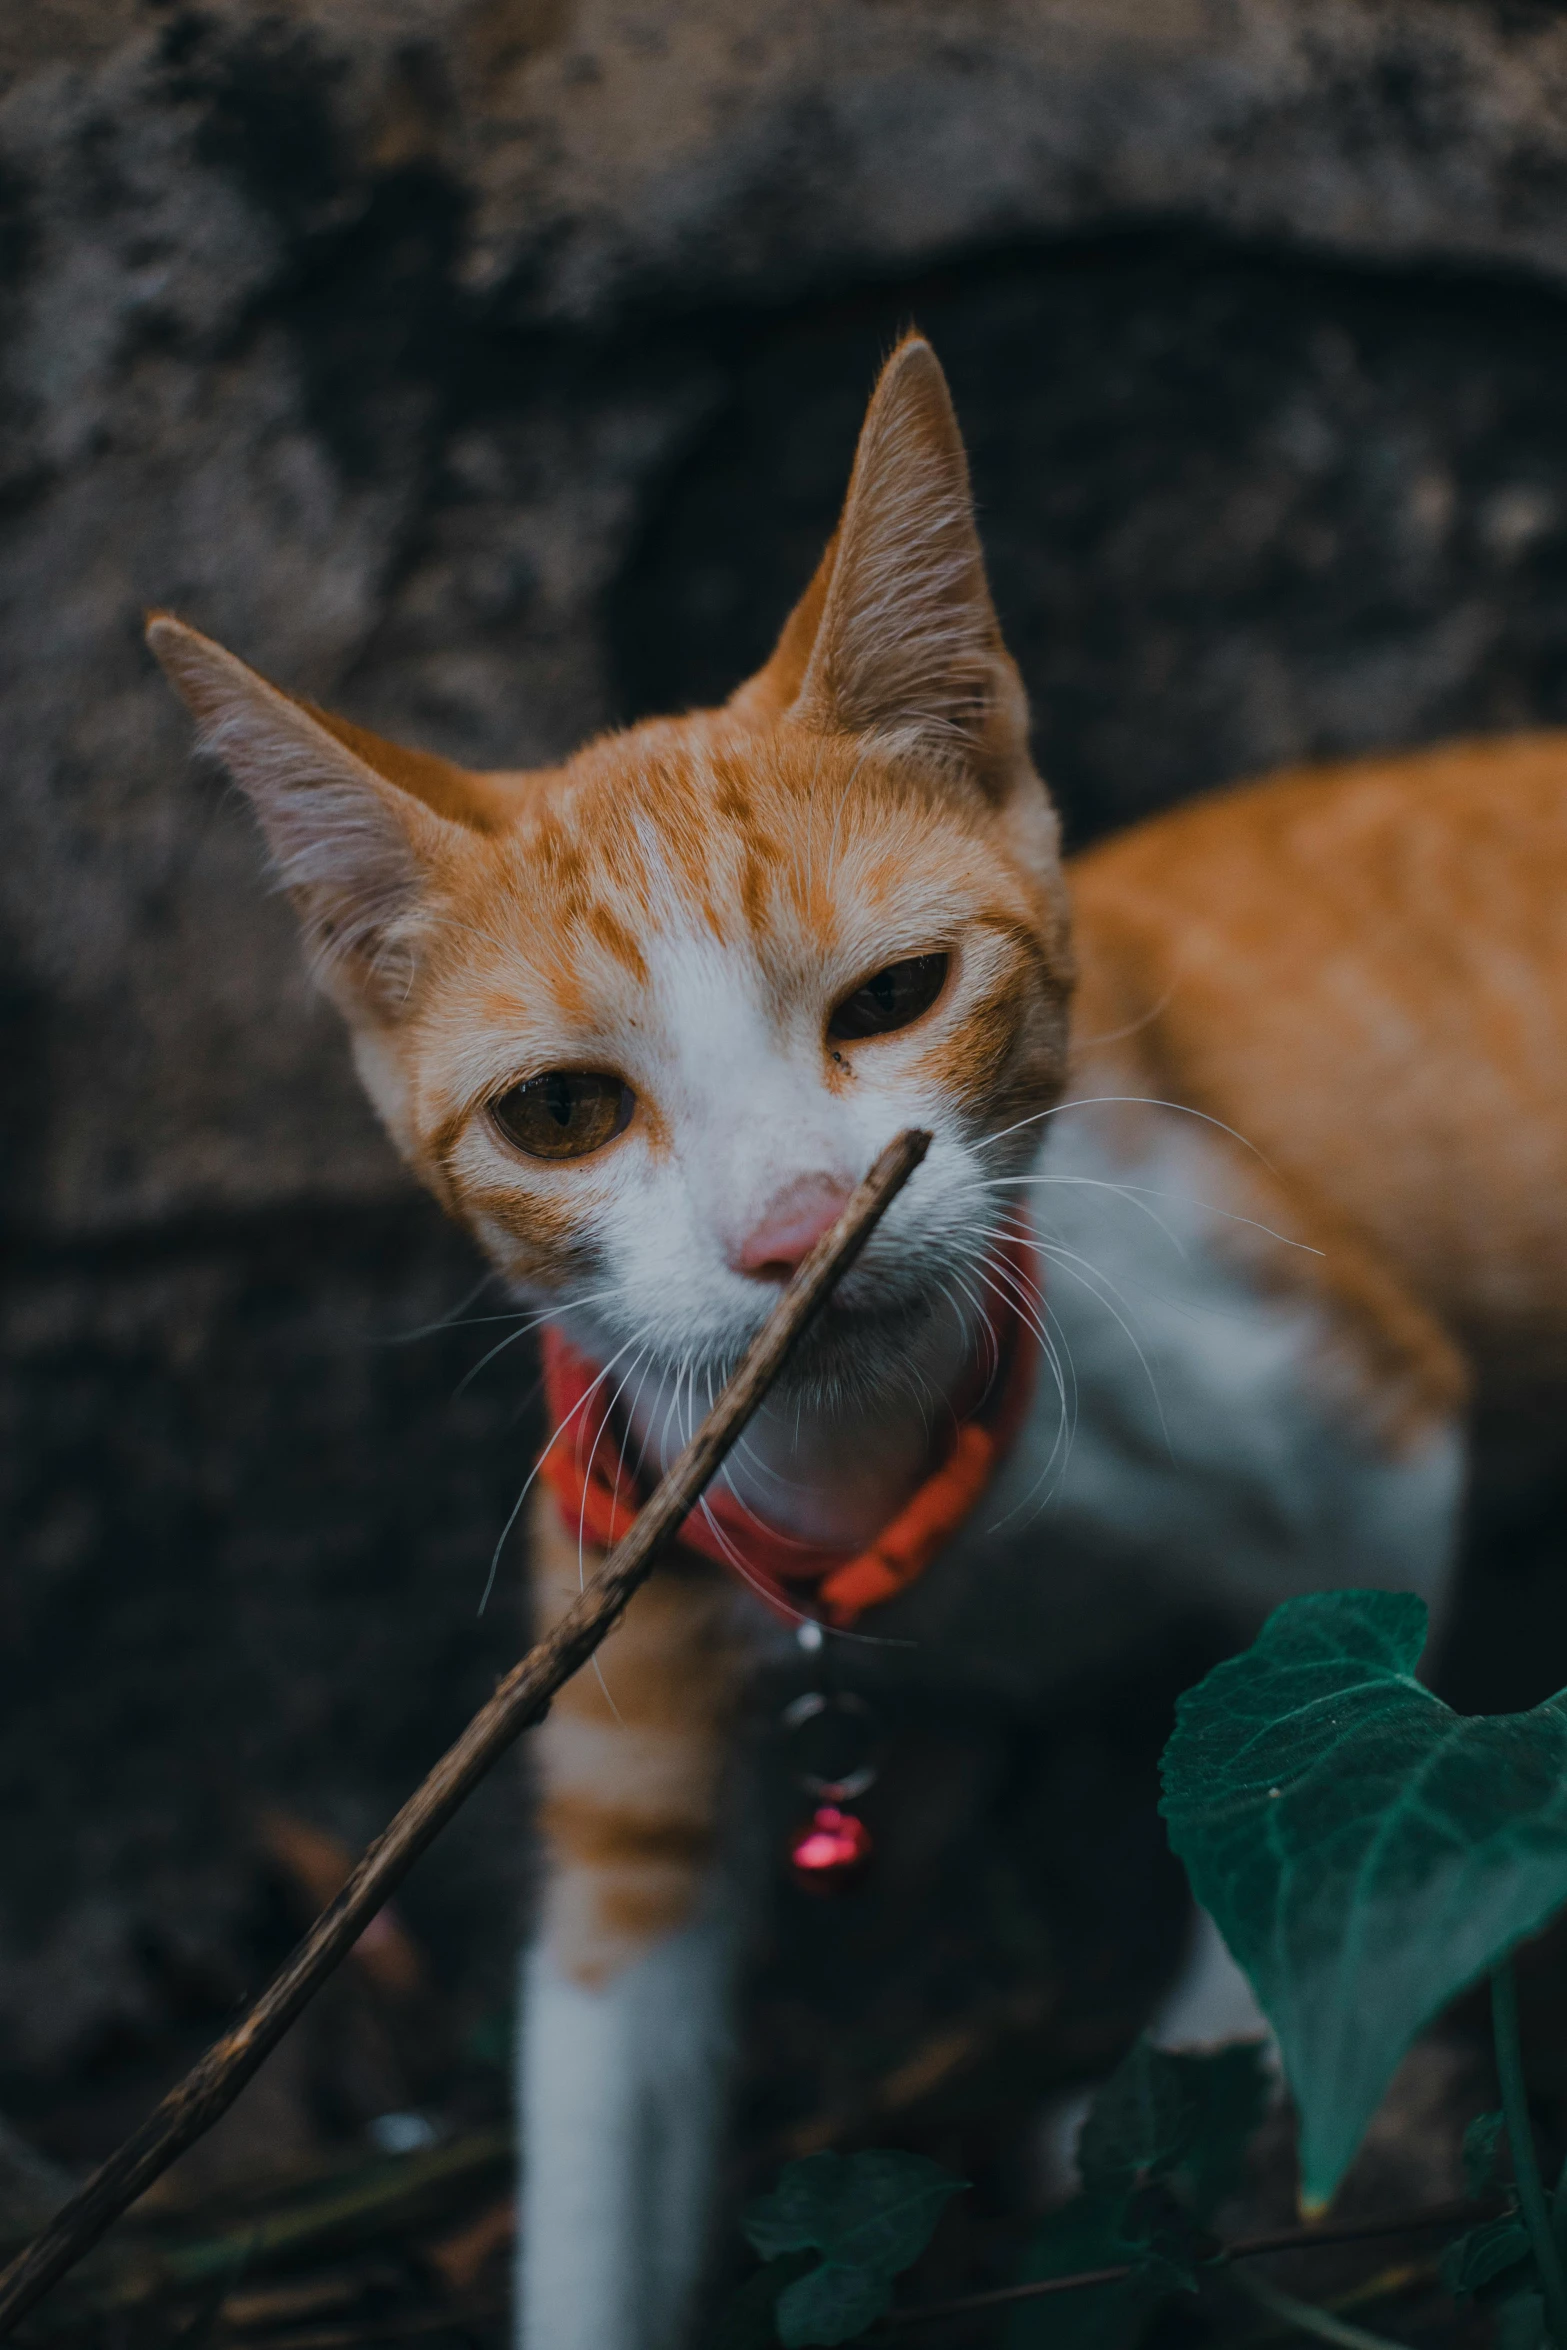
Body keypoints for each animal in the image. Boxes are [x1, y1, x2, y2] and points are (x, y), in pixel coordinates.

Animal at [146, 336, 1567, 2350]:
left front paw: (1210, 2083)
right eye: (562, 1111)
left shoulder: (1354, 1419)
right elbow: (603, 2117)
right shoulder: (634, 1611)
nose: (799, 1226)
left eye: (895, 997)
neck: (872, 1459)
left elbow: (1325, 1783)